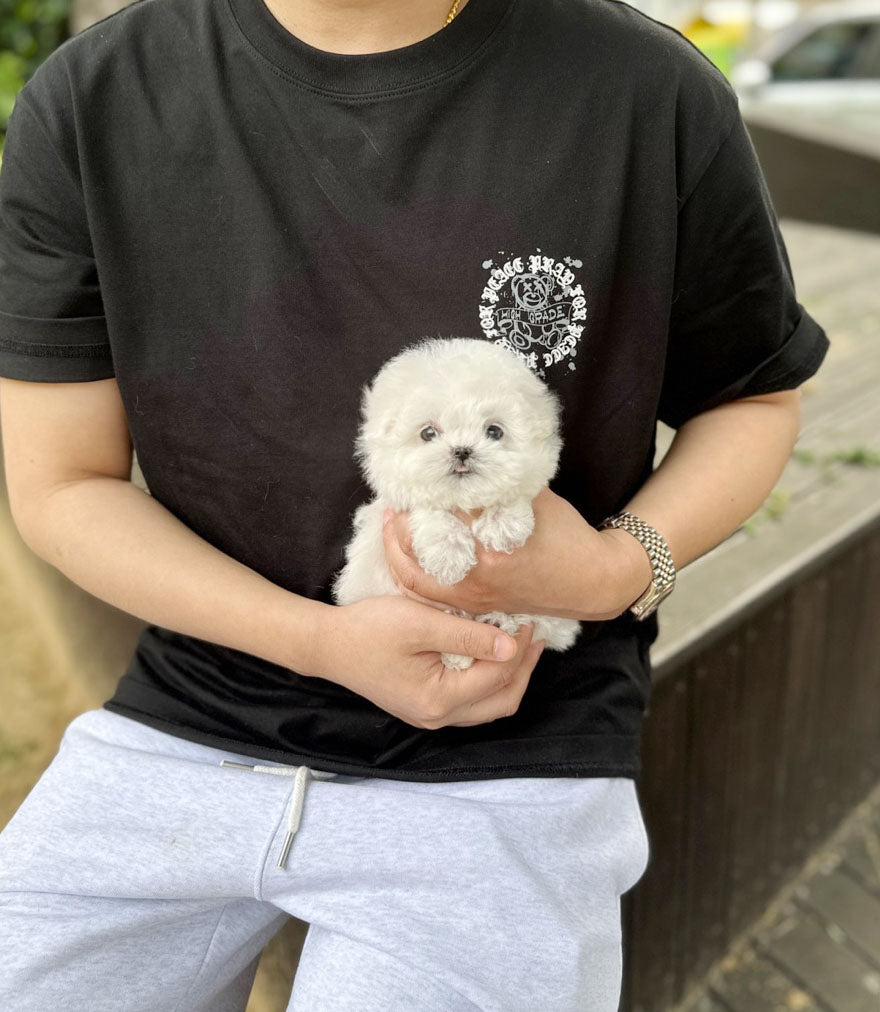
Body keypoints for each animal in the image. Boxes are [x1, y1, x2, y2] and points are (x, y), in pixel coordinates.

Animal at [333, 340, 582, 667]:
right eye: (428, 433)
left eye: (494, 431)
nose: (462, 450)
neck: (465, 501)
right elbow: (428, 508)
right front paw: (447, 553)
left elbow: (515, 490)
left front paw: (503, 524)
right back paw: (459, 652)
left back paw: (499, 621)